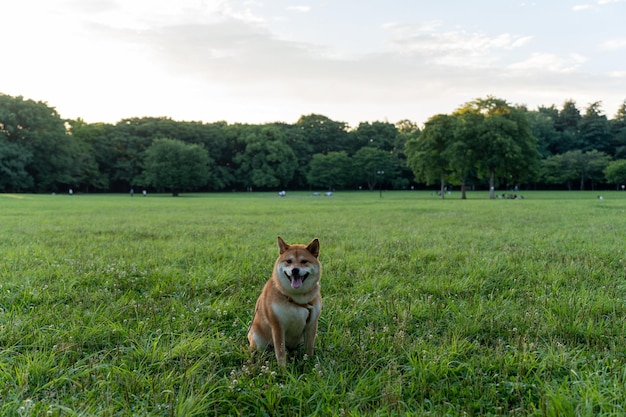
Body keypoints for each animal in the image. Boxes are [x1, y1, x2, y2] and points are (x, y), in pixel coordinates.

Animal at [245, 236, 320, 366]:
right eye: (289, 261)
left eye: (304, 261)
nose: (295, 270)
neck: (296, 298)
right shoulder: (278, 326)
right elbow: (280, 352)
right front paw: (282, 369)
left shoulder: (311, 324)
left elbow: (309, 348)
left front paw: (310, 363)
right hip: (257, 339)